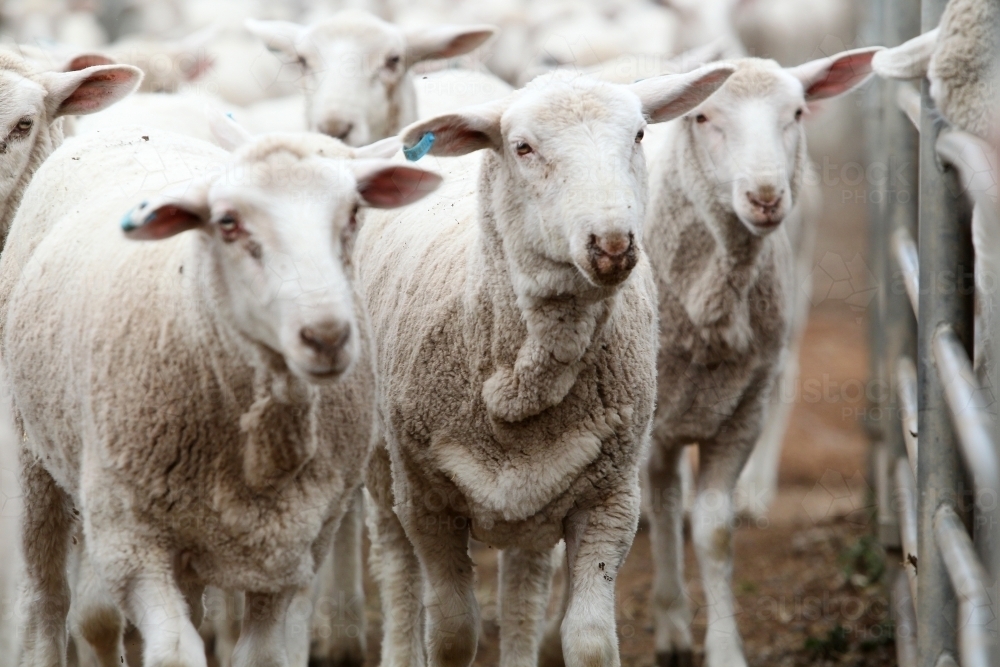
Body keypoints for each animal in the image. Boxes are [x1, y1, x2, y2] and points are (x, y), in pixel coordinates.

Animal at [0, 124, 441, 667]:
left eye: (354, 213)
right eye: (227, 223)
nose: (327, 336)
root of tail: (127, 126)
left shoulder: (291, 549)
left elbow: (261, 654)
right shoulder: (131, 543)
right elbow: (172, 652)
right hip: (32, 458)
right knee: (45, 596)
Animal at [354, 64, 735, 667]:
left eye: (639, 135)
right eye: (523, 148)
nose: (612, 244)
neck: (524, 386)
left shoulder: (610, 497)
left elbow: (591, 641)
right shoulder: (426, 501)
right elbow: (452, 633)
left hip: (537, 498)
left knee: (523, 589)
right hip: (382, 467)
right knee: (396, 568)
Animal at [636, 48, 881, 667]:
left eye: (796, 112)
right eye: (703, 117)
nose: (766, 197)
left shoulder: (741, 412)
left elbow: (714, 532)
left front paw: (722, 647)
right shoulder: (647, 413)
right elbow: (657, 505)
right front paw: (669, 623)